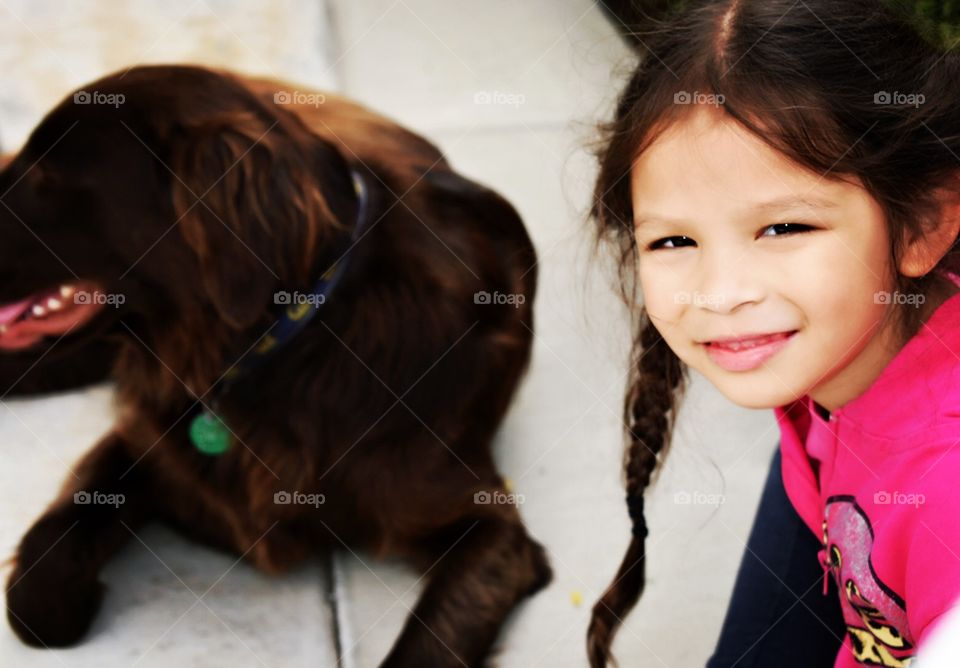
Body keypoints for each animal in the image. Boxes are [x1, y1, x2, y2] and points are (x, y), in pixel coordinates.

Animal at [0, 65, 552, 664]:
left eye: (49, 174)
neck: (285, 347)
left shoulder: (490, 527)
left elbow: (428, 645)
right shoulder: (142, 435)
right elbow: (37, 592)